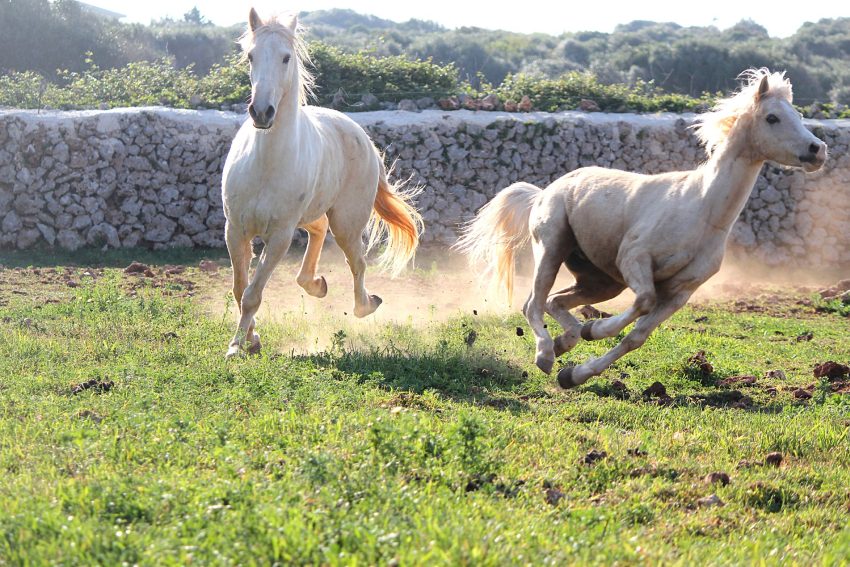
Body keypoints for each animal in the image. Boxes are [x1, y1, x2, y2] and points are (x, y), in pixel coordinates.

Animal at [221, 9, 422, 358]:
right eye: (250, 56)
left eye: (286, 57)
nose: (261, 112)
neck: (265, 164)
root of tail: (364, 138)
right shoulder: (235, 230)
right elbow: (239, 288)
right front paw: (249, 339)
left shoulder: (279, 236)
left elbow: (252, 294)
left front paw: (237, 345)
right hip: (314, 215)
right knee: (318, 231)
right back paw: (316, 284)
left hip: (346, 223)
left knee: (357, 262)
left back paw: (365, 305)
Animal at [457, 69, 827, 388]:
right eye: (772, 117)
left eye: (797, 115)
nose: (817, 150)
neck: (701, 210)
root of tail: (543, 192)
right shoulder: (634, 259)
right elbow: (643, 301)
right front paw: (595, 329)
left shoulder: (679, 292)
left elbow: (637, 336)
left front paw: (575, 374)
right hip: (553, 248)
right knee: (533, 303)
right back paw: (547, 354)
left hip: (601, 281)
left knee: (555, 301)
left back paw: (566, 342)